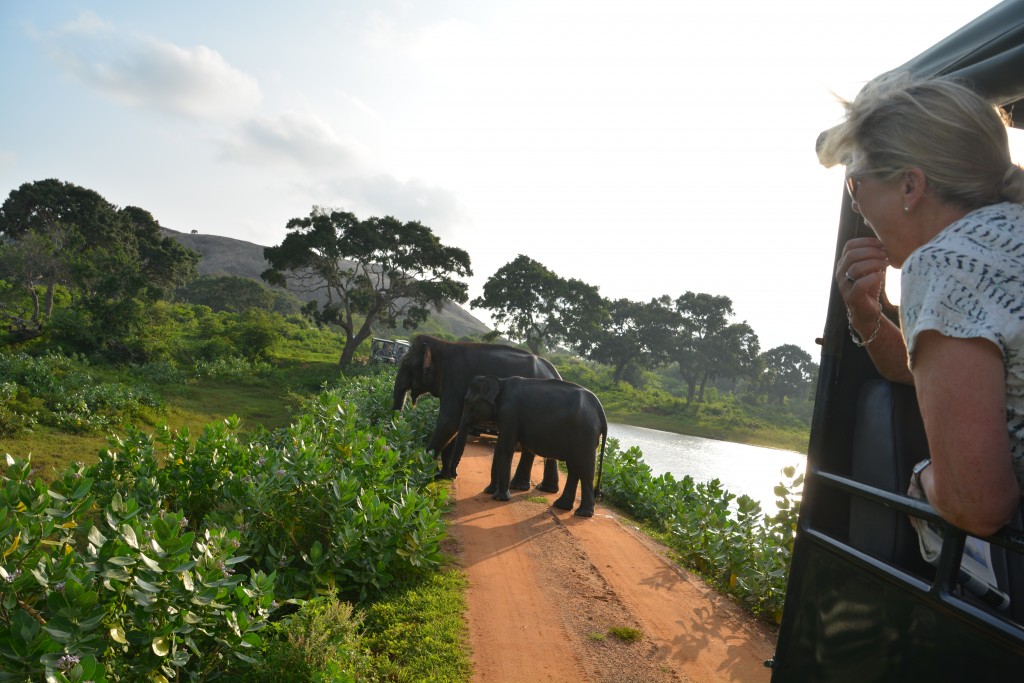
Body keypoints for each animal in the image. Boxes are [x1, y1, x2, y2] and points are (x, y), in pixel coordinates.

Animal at [392, 334, 561, 491]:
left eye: (407, 364)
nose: (455, 474)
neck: (443, 345)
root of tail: (556, 373)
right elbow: (454, 426)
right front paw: (440, 475)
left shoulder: (455, 380)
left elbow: (449, 422)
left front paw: (418, 473)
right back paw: (539, 488)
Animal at [453, 375, 608, 517]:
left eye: (467, 402)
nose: (454, 475)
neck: (501, 381)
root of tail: (600, 410)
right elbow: (500, 448)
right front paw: (488, 491)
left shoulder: (510, 413)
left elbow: (505, 447)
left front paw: (498, 498)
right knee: (574, 469)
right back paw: (562, 506)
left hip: (585, 434)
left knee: (584, 470)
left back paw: (583, 513)